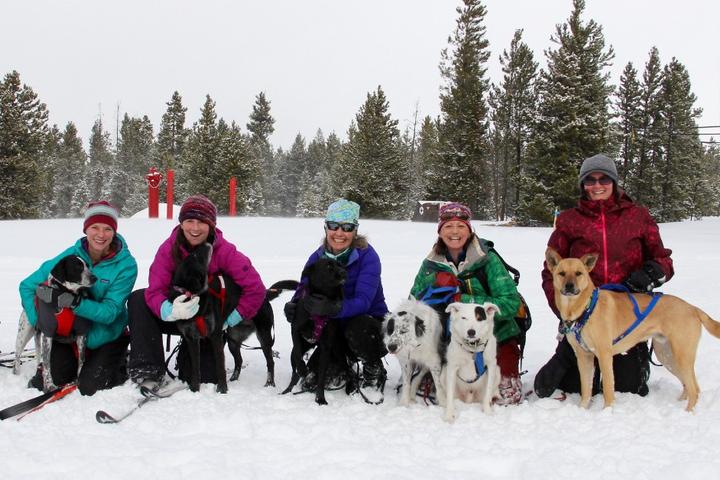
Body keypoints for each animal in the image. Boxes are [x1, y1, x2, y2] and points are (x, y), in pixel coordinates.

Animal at [13, 255, 95, 390]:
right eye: (77, 266)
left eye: (87, 265)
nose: (94, 277)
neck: (65, 296)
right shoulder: (47, 334)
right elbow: (47, 365)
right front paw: (49, 386)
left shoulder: (81, 334)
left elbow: (81, 360)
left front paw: (78, 380)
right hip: (23, 334)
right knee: (17, 358)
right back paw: (16, 374)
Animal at [170, 244, 296, 394]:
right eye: (194, 255)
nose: (207, 244)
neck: (191, 296)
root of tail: (265, 295)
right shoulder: (191, 339)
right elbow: (195, 369)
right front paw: (195, 390)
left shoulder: (215, 336)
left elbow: (220, 367)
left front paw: (222, 390)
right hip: (233, 340)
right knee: (239, 360)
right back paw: (234, 379)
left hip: (264, 336)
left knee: (270, 361)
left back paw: (269, 383)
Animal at [282, 256, 348, 404]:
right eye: (328, 266)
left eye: (340, 264)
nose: (344, 272)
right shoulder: (295, 329)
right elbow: (298, 352)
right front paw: (303, 369)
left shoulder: (326, 347)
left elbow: (321, 377)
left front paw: (320, 399)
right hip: (294, 354)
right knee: (294, 373)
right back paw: (287, 390)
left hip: (337, 351)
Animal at [544, 248, 720, 412]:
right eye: (562, 273)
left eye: (578, 273)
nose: (569, 286)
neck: (584, 309)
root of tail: (693, 308)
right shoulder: (583, 356)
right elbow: (586, 389)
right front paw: (582, 409)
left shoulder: (604, 355)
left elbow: (608, 389)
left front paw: (607, 412)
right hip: (667, 356)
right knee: (689, 385)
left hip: (681, 355)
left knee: (694, 389)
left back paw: (687, 413)